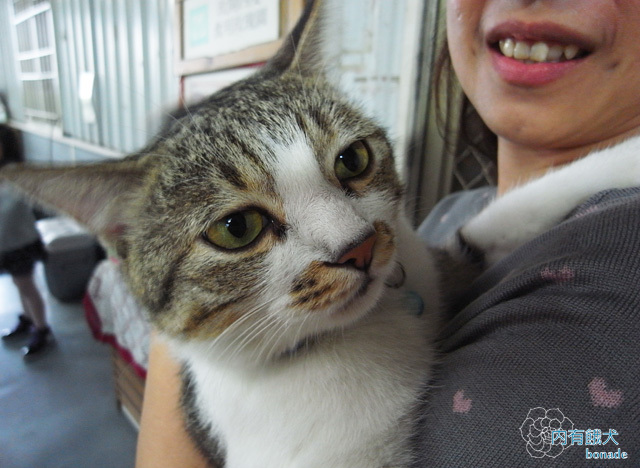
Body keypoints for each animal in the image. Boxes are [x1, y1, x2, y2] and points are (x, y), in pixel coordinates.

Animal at [3, 0, 640, 468]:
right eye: (237, 228)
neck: (358, 333)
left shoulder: (437, 262)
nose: (358, 246)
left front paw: (622, 157)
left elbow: (499, 220)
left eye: (353, 160)